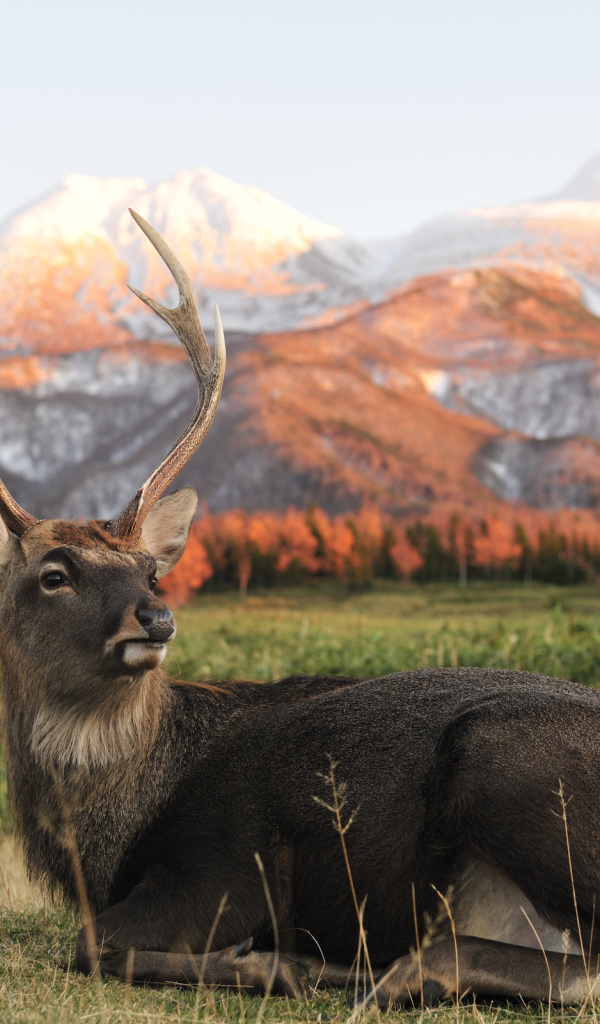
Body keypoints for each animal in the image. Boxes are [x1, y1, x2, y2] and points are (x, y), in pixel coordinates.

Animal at [2, 209, 600, 1008]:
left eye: (149, 571)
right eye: (54, 575)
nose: (155, 619)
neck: (107, 840)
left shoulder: (230, 865)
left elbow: (92, 944)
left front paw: (265, 961)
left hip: (503, 759)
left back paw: (350, 969)